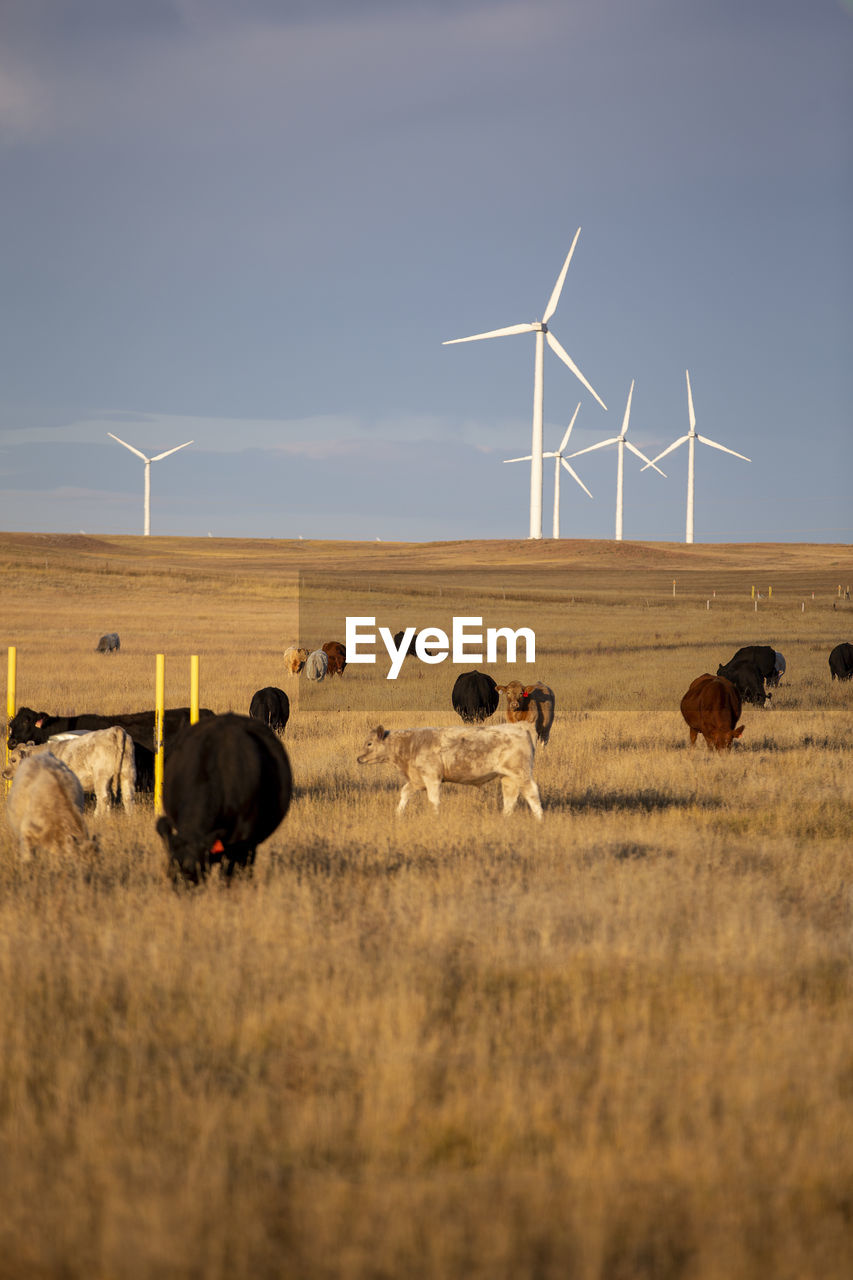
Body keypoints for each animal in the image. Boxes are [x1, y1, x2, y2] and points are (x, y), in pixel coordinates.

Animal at [3, 727, 135, 814]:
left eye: (13, 760)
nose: (4, 773)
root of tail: (114, 730)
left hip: (101, 777)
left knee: (103, 797)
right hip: (127, 773)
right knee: (127, 797)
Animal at [356, 721, 540, 819]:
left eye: (369, 743)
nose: (359, 758)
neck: (410, 745)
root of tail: (520, 727)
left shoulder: (432, 778)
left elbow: (433, 800)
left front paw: (435, 817)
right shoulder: (417, 780)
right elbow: (405, 793)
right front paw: (398, 814)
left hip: (521, 773)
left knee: (532, 793)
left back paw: (539, 819)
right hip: (508, 777)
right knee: (510, 798)